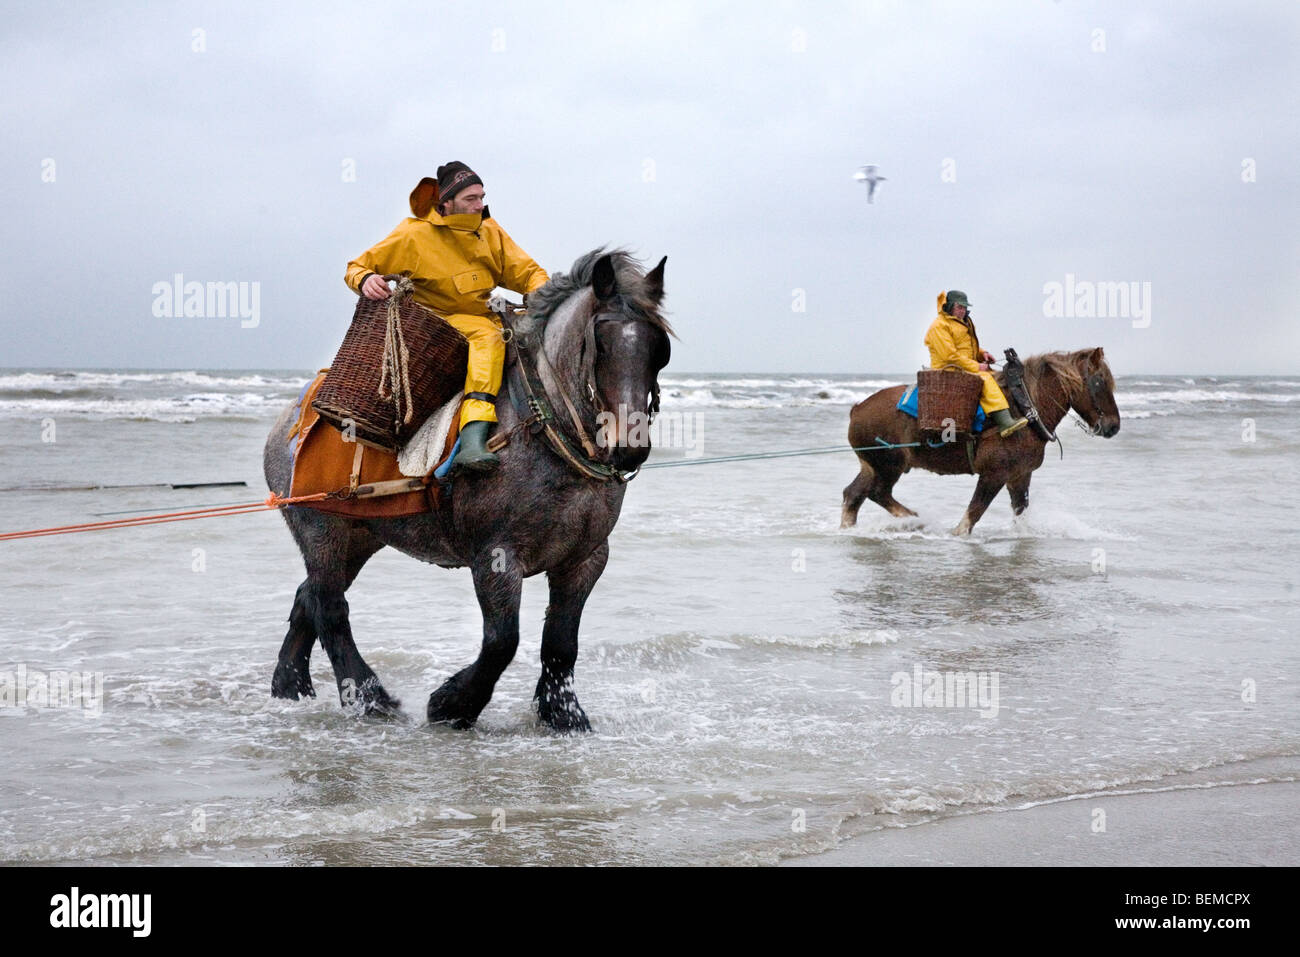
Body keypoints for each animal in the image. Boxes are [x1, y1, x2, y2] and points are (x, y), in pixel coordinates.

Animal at [262, 249, 672, 732]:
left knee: (308, 596)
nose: (629, 446)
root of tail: (293, 416)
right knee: (329, 605)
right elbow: (501, 641)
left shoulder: (586, 558)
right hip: (320, 528)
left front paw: (564, 714)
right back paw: (368, 697)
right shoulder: (495, 557)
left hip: (359, 536)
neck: (542, 430)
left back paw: (290, 683)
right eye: (601, 343)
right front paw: (453, 704)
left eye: (659, 350)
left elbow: (560, 643)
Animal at [840, 348, 1119, 535]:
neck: (1025, 408)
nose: (1114, 426)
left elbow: (1020, 513)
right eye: (1099, 381)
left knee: (854, 495)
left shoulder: (1020, 476)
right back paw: (916, 520)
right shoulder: (994, 475)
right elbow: (972, 515)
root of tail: (858, 408)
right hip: (889, 466)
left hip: (873, 466)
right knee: (876, 492)